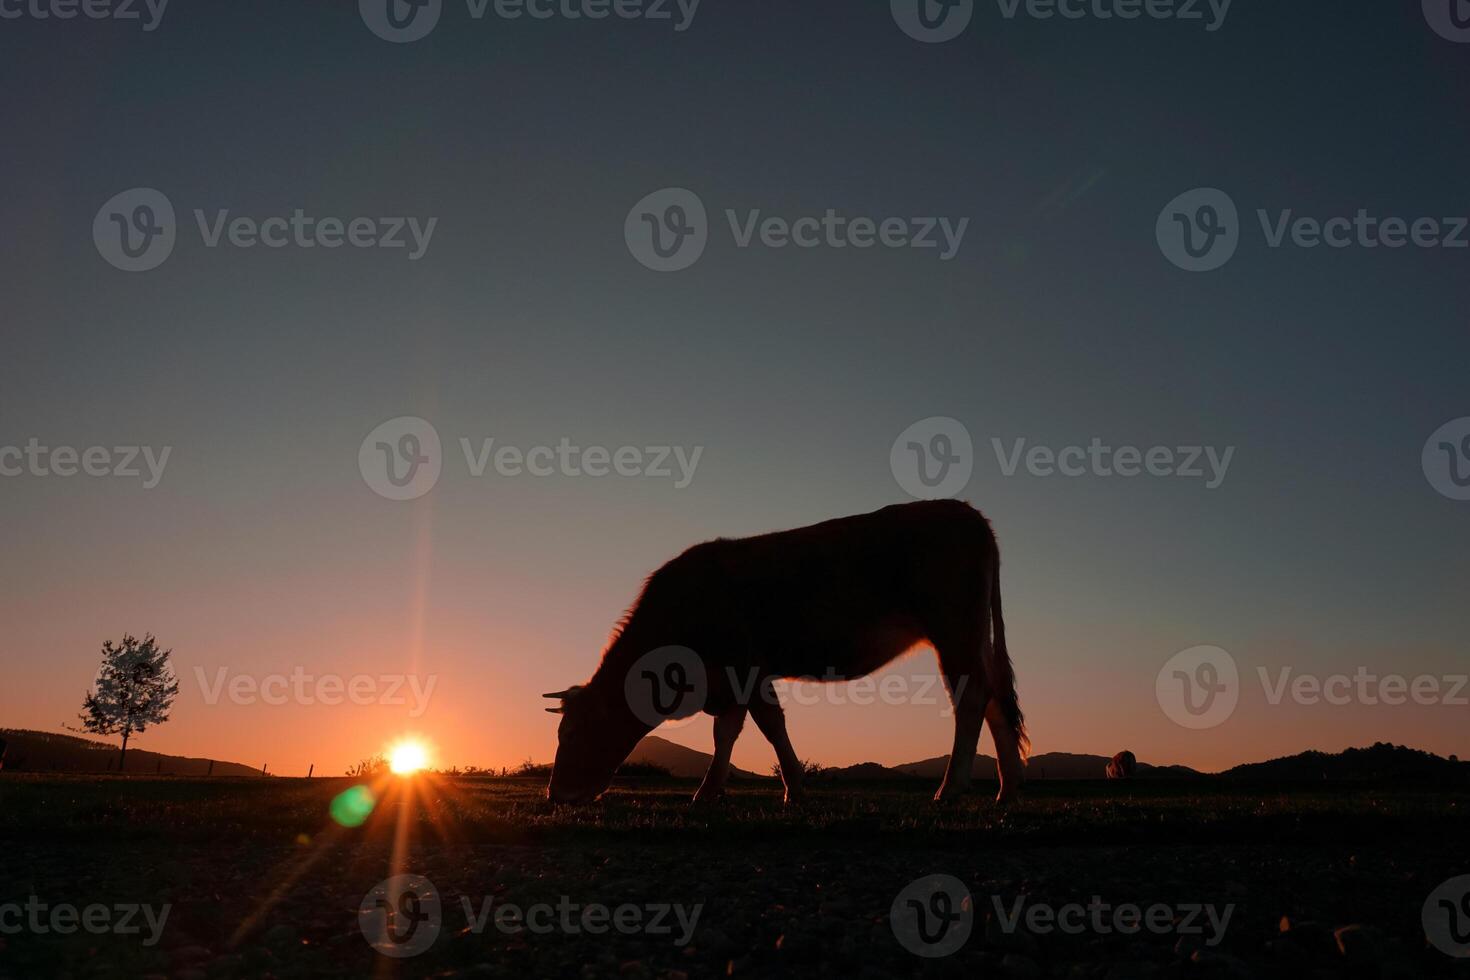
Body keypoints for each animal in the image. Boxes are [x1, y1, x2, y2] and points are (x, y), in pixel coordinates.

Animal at [543, 502, 1034, 811]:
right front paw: (717, 791)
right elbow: (736, 732)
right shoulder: (733, 679)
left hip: (954, 628)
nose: (554, 795)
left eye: (574, 732)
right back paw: (1007, 791)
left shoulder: (744, 667)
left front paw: (787, 790)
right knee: (994, 700)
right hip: (972, 635)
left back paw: (951, 788)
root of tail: (966, 511)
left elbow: (763, 727)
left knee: (971, 700)